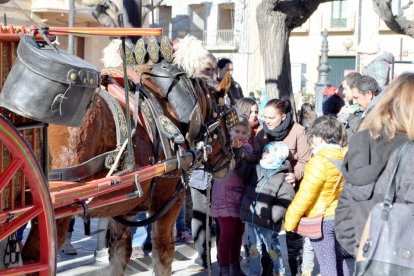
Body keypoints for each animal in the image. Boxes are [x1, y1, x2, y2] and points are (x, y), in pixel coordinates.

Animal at [21, 37, 236, 274]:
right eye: (227, 118)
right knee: (34, 257)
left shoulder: (124, 208)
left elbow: (120, 252)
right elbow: (163, 253)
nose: (231, 161)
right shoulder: (169, 201)